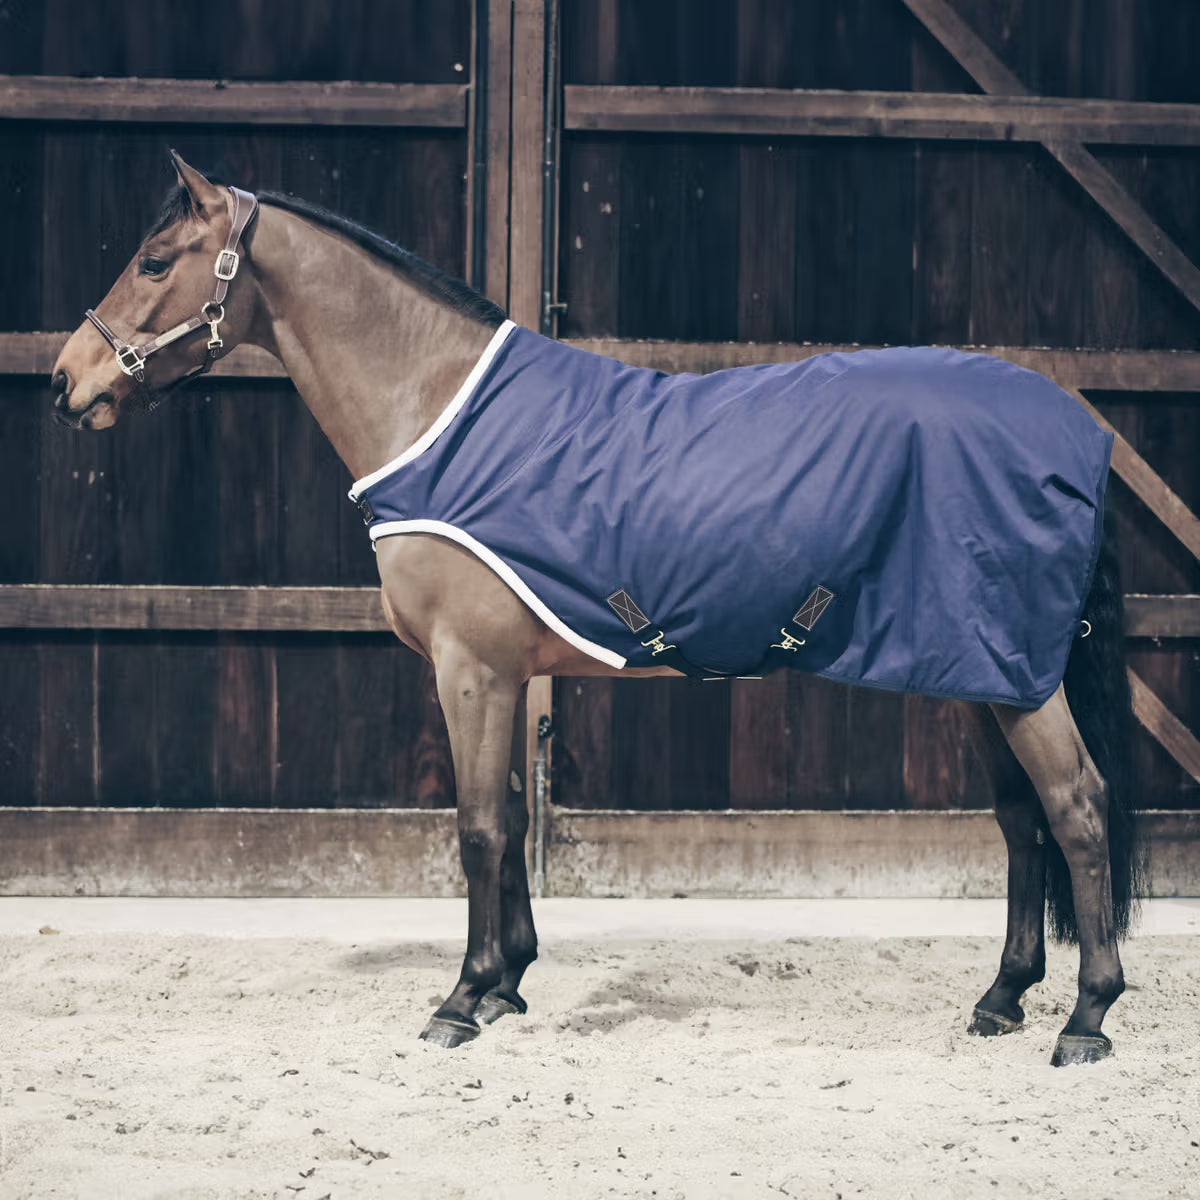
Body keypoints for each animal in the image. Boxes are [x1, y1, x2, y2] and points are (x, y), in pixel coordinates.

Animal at [50, 151, 1141, 1064]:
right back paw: (1002, 997)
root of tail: (1079, 432)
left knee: (1078, 809)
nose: (67, 380)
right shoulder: (502, 672)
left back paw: (1086, 1018)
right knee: (1021, 820)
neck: (440, 411)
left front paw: (460, 1002)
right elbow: (510, 814)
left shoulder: (472, 670)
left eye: (154, 261)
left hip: (1016, 678)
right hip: (979, 668)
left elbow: (478, 828)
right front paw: (507, 987)